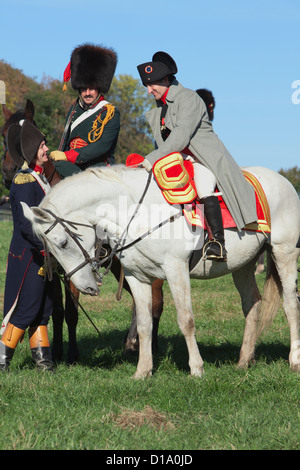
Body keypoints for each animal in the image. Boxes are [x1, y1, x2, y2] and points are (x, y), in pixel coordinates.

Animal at [0, 100, 164, 360]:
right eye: (4, 134)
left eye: (27, 135)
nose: (7, 172)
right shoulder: (55, 268)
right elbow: (57, 311)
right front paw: (56, 351)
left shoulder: (76, 267)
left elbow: (71, 311)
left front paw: (73, 354)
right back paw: (133, 343)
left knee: (156, 301)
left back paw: (150, 346)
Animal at [21, 164, 300, 378]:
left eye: (63, 243)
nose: (85, 286)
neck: (136, 212)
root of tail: (283, 181)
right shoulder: (136, 277)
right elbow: (144, 324)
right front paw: (142, 371)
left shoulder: (176, 270)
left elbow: (186, 320)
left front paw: (196, 368)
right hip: (243, 265)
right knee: (252, 304)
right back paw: (244, 360)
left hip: (284, 254)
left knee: (290, 305)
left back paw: (294, 359)